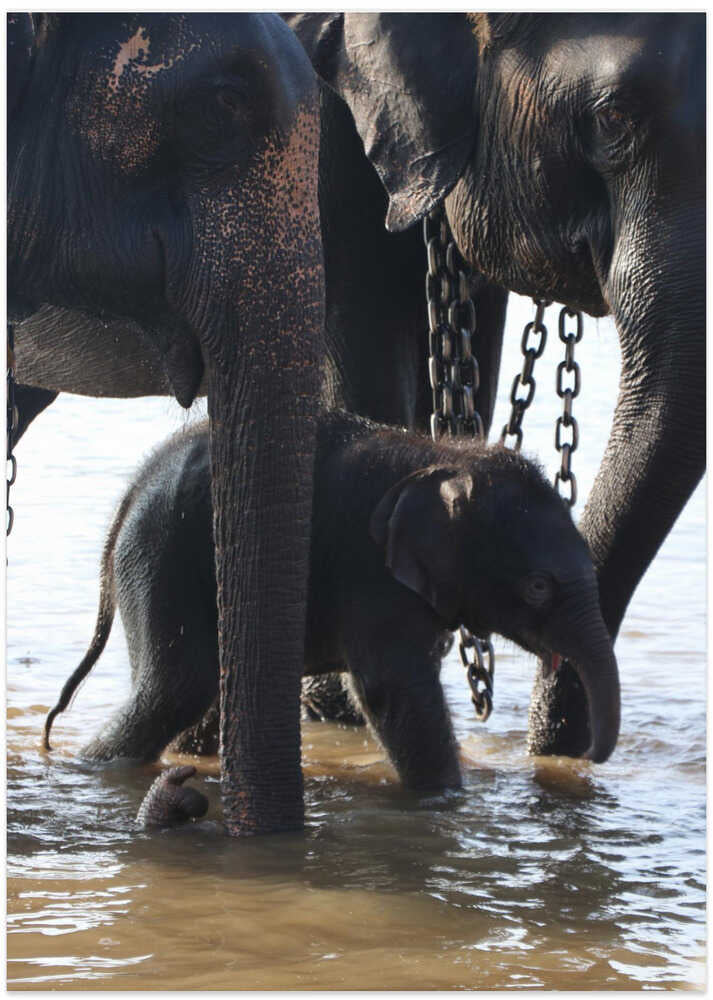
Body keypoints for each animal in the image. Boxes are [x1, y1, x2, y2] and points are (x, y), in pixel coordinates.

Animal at [44, 410, 620, 798]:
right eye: (538, 587)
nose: (586, 757)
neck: (450, 457)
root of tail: (128, 497)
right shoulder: (371, 572)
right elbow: (391, 690)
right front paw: (447, 799)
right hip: (162, 556)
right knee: (174, 687)